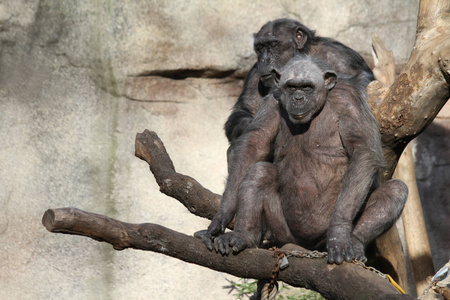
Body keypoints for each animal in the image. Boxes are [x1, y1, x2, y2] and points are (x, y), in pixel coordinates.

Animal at [194, 55, 408, 264]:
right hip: (283, 231)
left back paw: (354, 243)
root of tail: (306, 245)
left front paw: (339, 232)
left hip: (321, 236)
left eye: (306, 87)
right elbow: (255, 144)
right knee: (259, 172)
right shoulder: (273, 99)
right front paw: (222, 216)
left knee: (395, 190)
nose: (298, 98)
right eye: (291, 87)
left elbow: (362, 151)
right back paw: (243, 236)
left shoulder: (350, 100)